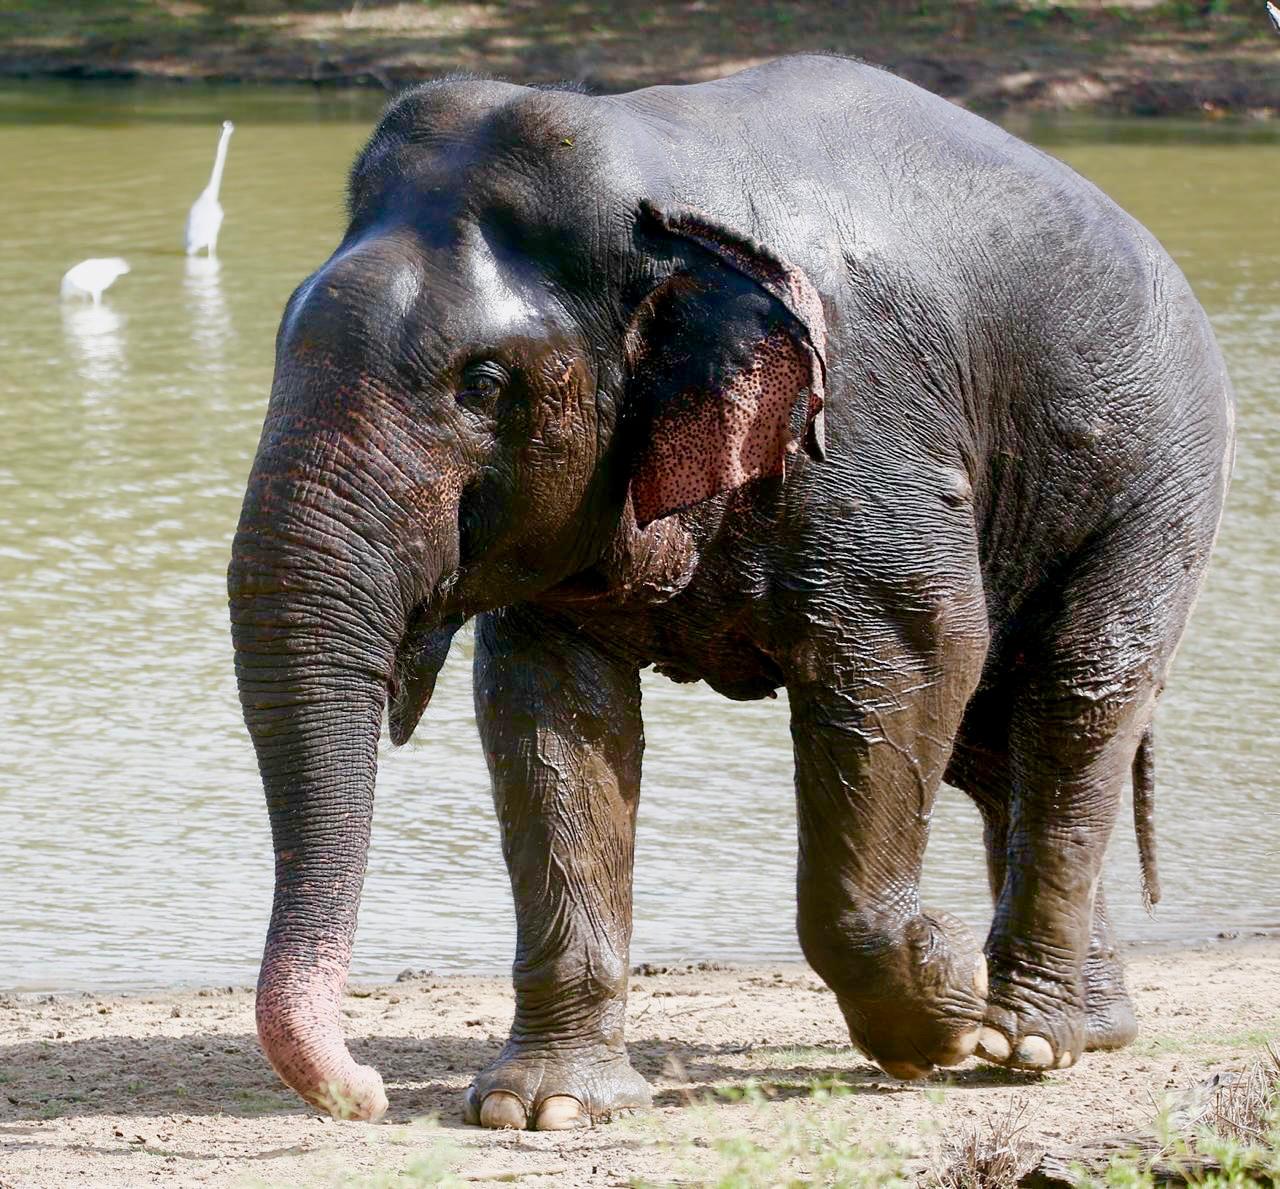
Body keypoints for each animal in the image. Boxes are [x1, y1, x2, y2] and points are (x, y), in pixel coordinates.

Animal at [227, 54, 1234, 1130]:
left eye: (483, 382)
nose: (365, 1092)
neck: (659, 189)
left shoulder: (866, 434)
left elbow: (919, 649)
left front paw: (938, 1007)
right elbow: (547, 713)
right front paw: (543, 1108)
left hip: (1161, 475)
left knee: (1079, 695)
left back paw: (1025, 1038)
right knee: (997, 743)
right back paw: (1086, 1026)